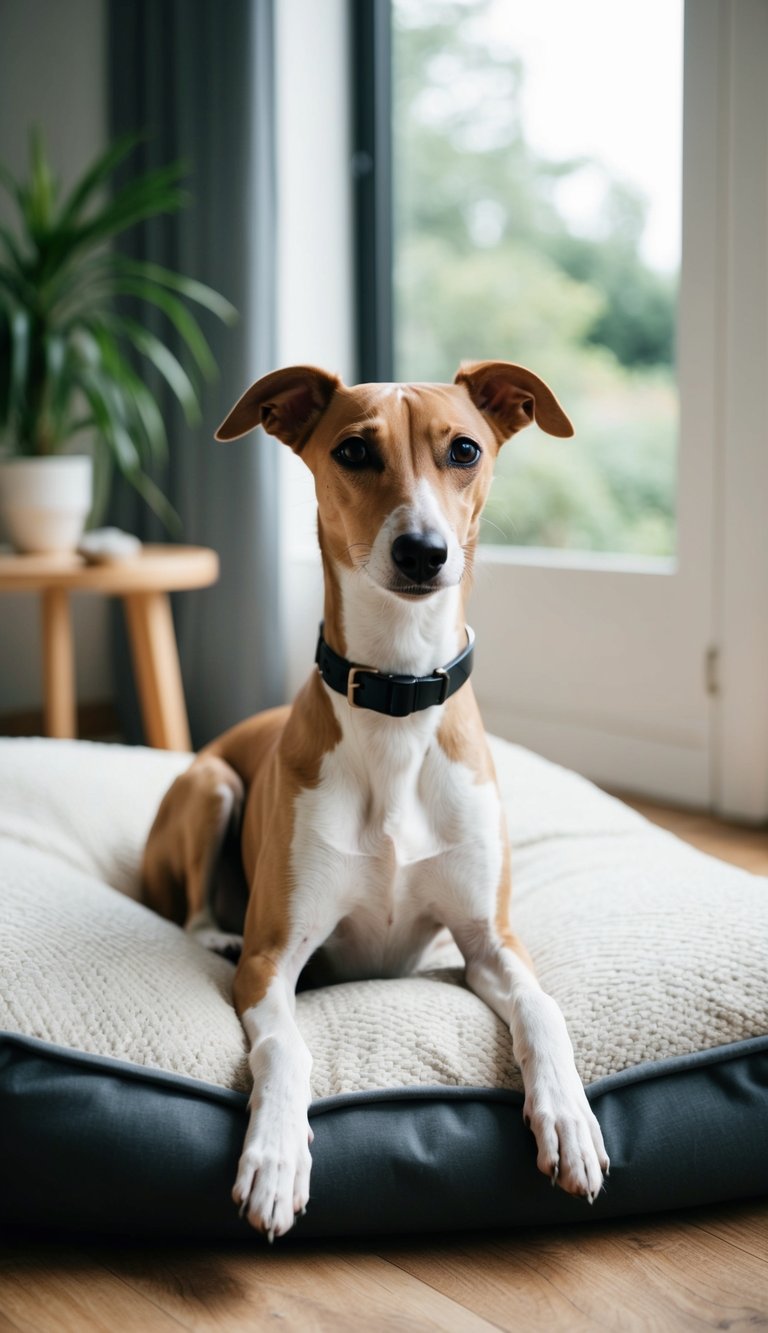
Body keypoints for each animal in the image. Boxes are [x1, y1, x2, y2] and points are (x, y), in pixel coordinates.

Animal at [142, 360, 609, 1239]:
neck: (398, 694)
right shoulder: (273, 963)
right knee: (189, 907)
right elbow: (285, 1047)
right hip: (213, 785)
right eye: (354, 450)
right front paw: (275, 1157)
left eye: (465, 449)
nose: (423, 551)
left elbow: (544, 1009)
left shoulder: (490, 942)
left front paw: (568, 1118)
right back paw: (211, 929)